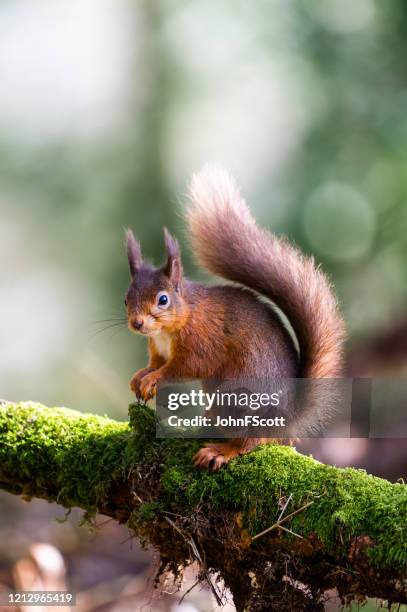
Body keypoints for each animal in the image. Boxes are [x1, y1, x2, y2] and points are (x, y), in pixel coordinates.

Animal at [126, 165, 346, 470]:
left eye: (163, 299)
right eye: (126, 298)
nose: (137, 323)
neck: (169, 329)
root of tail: (285, 420)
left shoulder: (202, 340)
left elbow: (185, 367)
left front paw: (154, 379)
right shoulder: (157, 349)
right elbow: (155, 363)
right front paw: (140, 376)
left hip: (236, 396)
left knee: (249, 441)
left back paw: (221, 451)